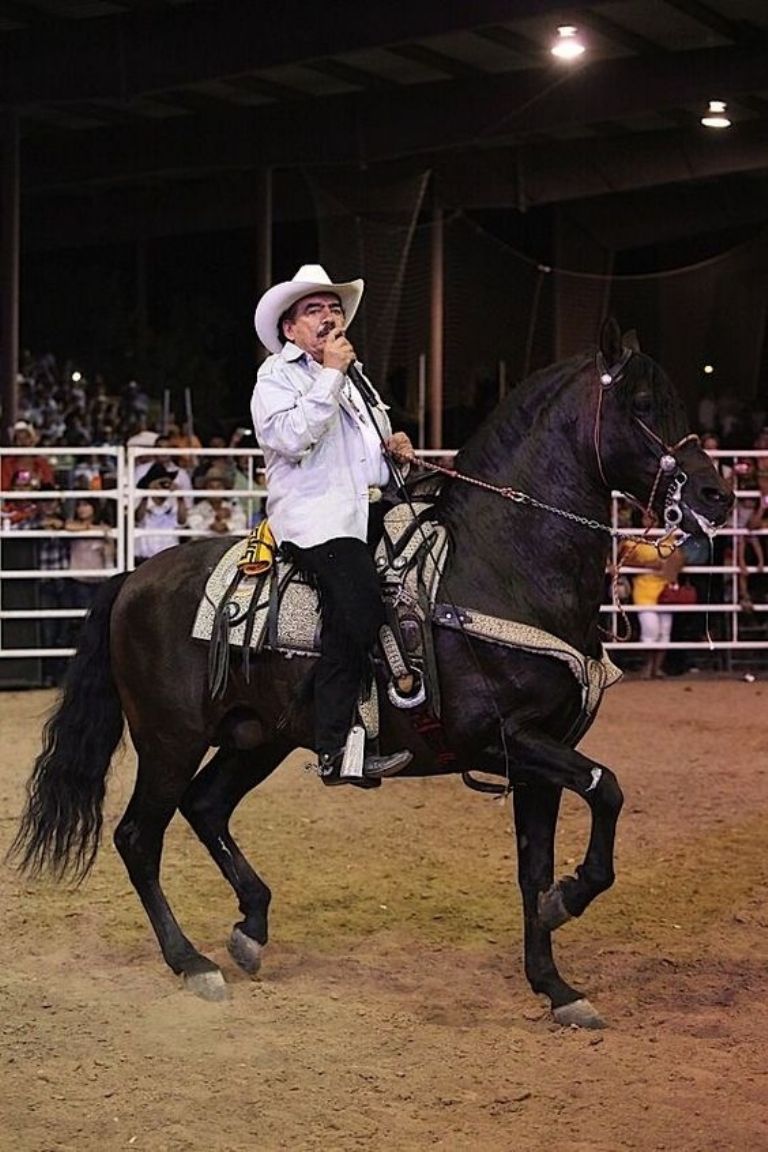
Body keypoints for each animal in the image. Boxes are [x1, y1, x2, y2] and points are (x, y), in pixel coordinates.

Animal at [10, 324, 732, 1027]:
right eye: (643, 405)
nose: (715, 494)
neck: (499, 567)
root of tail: (134, 578)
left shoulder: (538, 754)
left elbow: (536, 866)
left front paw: (556, 984)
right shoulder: (503, 736)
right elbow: (607, 788)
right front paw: (569, 902)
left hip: (258, 738)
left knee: (205, 805)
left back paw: (251, 928)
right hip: (170, 740)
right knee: (139, 837)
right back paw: (193, 963)